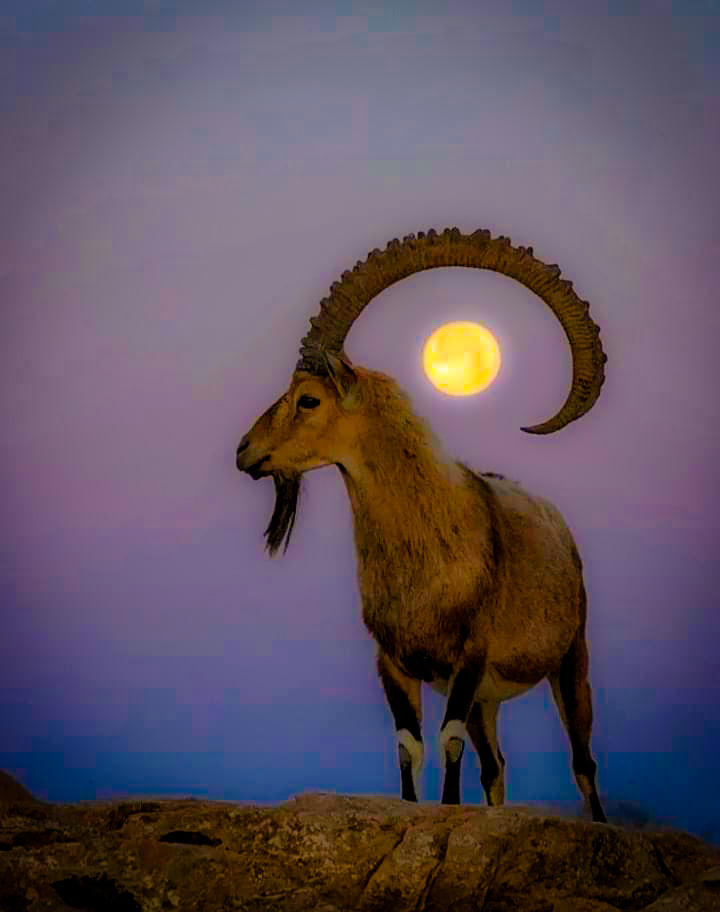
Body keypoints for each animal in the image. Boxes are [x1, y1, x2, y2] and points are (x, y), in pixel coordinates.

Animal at [236, 228, 608, 821]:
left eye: (308, 399)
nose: (245, 452)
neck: (428, 545)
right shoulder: (393, 663)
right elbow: (408, 747)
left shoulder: (469, 656)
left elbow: (447, 740)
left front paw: (447, 809)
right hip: (487, 700)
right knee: (495, 767)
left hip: (571, 659)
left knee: (583, 763)